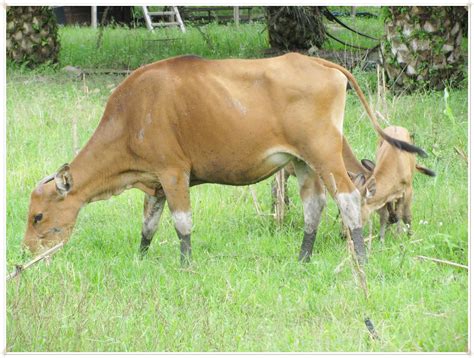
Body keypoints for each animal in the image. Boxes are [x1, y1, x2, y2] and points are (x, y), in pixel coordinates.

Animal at [22, 53, 426, 266]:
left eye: (37, 216)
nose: (27, 251)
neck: (132, 114)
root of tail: (318, 61)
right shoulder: (154, 184)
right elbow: (148, 227)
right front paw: (140, 258)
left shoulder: (174, 173)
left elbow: (182, 224)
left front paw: (185, 265)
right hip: (302, 163)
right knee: (315, 206)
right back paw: (303, 258)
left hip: (324, 154)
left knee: (350, 196)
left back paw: (360, 257)